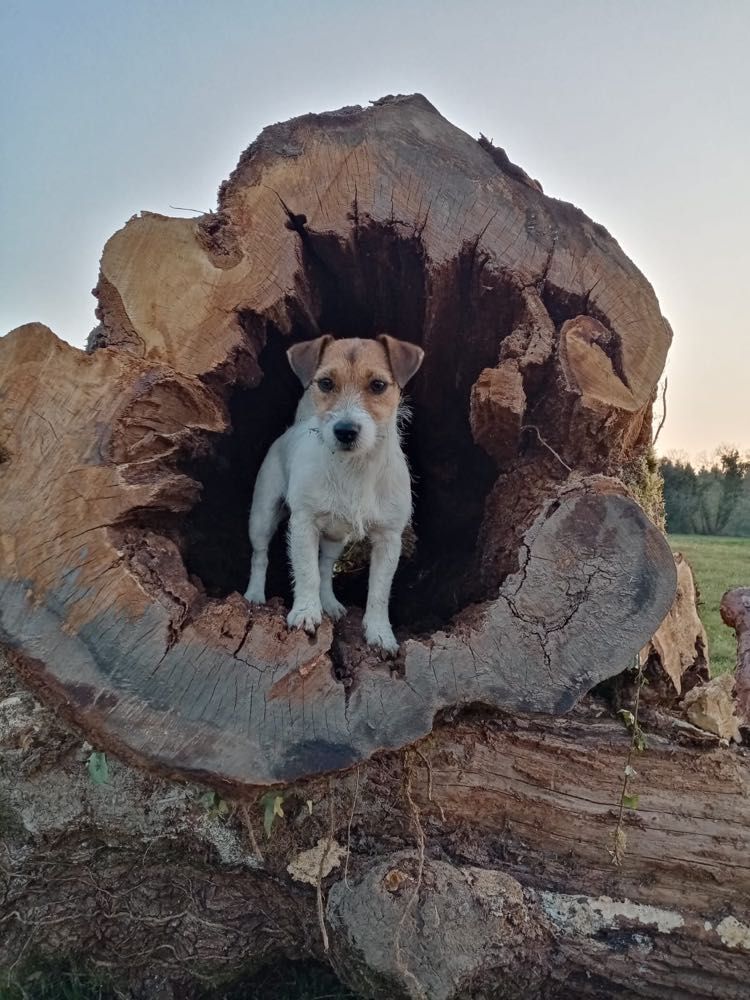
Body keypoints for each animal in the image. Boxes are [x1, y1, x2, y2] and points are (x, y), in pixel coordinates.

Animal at [245, 332, 426, 652]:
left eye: (378, 385)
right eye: (326, 383)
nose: (345, 430)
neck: (355, 468)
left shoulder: (389, 538)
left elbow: (379, 591)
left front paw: (380, 633)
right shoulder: (303, 523)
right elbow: (306, 572)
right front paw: (306, 612)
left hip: (335, 538)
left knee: (326, 565)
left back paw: (329, 602)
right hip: (262, 517)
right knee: (261, 555)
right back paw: (254, 595)